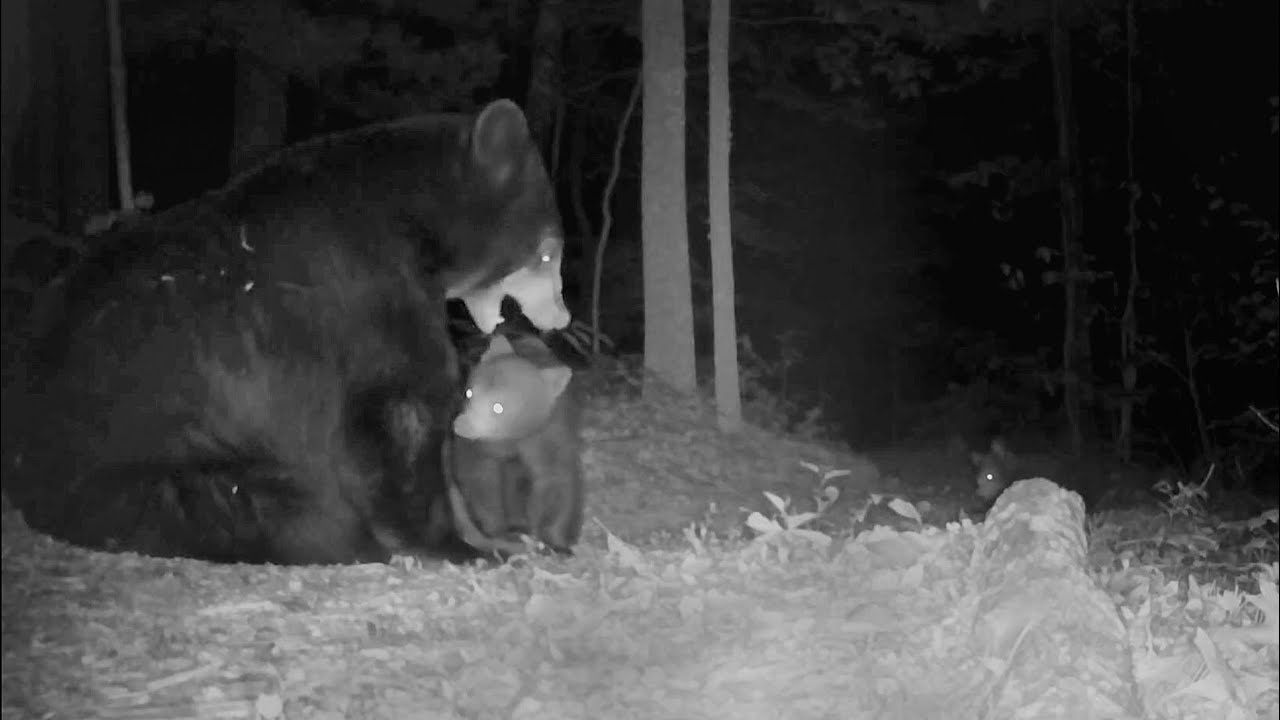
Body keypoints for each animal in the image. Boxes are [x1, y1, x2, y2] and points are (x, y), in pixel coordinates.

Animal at [2, 99, 569, 565]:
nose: (561, 319)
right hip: (149, 484)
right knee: (298, 514)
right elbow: (398, 405)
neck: (413, 221)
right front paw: (465, 545)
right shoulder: (364, 287)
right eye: (549, 251)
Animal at [444, 332, 584, 557]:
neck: (512, 436)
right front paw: (501, 532)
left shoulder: (549, 433)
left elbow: (555, 479)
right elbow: (480, 477)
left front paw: (555, 541)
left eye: (498, 407)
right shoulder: (477, 447)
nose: (462, 425)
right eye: (469, 393)